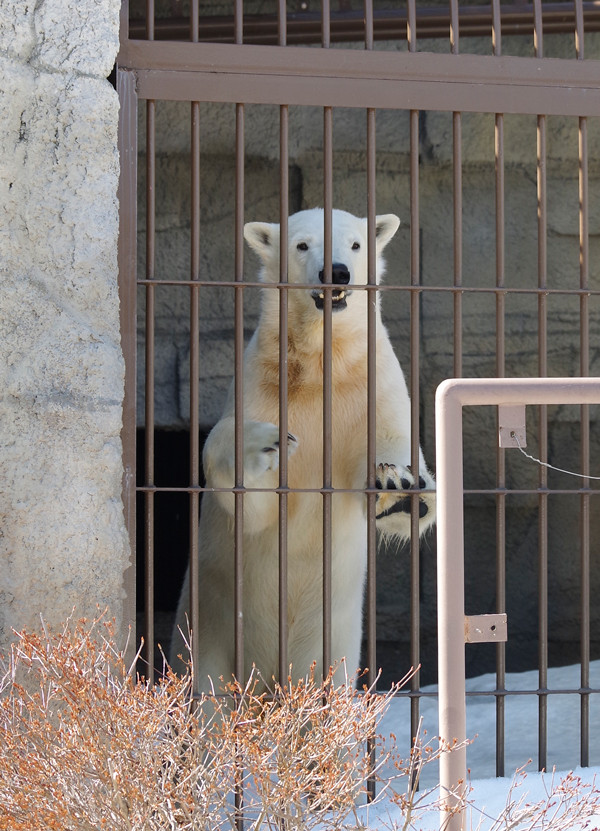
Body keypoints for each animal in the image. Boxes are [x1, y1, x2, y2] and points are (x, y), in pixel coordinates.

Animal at [171, 206, 434, 688]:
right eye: (302, 245)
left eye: (355, 244)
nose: (338, 273)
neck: (320, 366)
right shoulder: (261, 385)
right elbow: (252, 505)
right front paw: (266, 444)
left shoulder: (374, 385)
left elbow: (402, 453)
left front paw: (397, 487)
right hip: (207, 634)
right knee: (207, 693)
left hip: (332, 647)